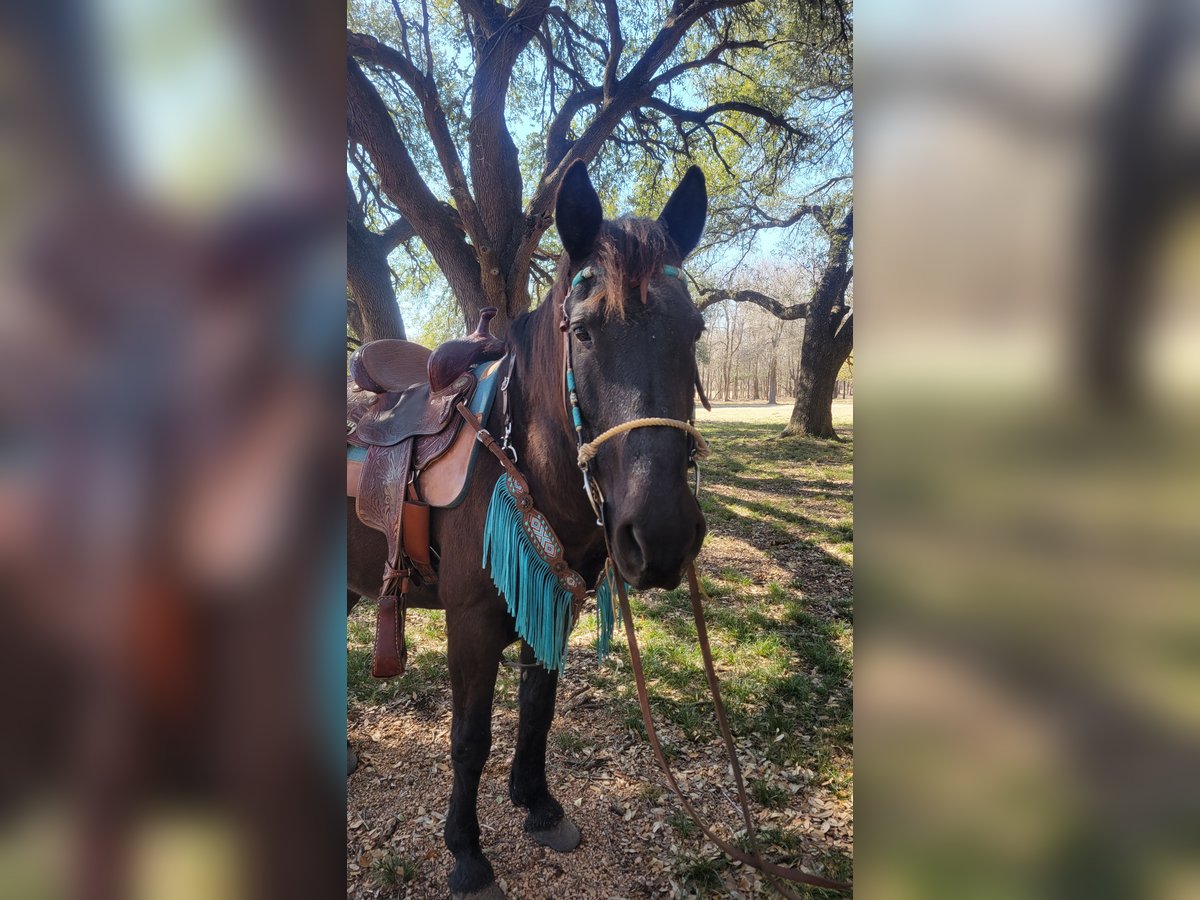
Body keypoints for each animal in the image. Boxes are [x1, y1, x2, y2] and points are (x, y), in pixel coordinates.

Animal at [348, 160, 709, 899]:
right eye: (585, 331)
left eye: (694, 330)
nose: (660, 538)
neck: (518, 460)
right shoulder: (472, 623)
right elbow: (470, 738)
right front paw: (467, 852)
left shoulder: (556, 602)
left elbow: (538, 709)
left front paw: (538, 806)